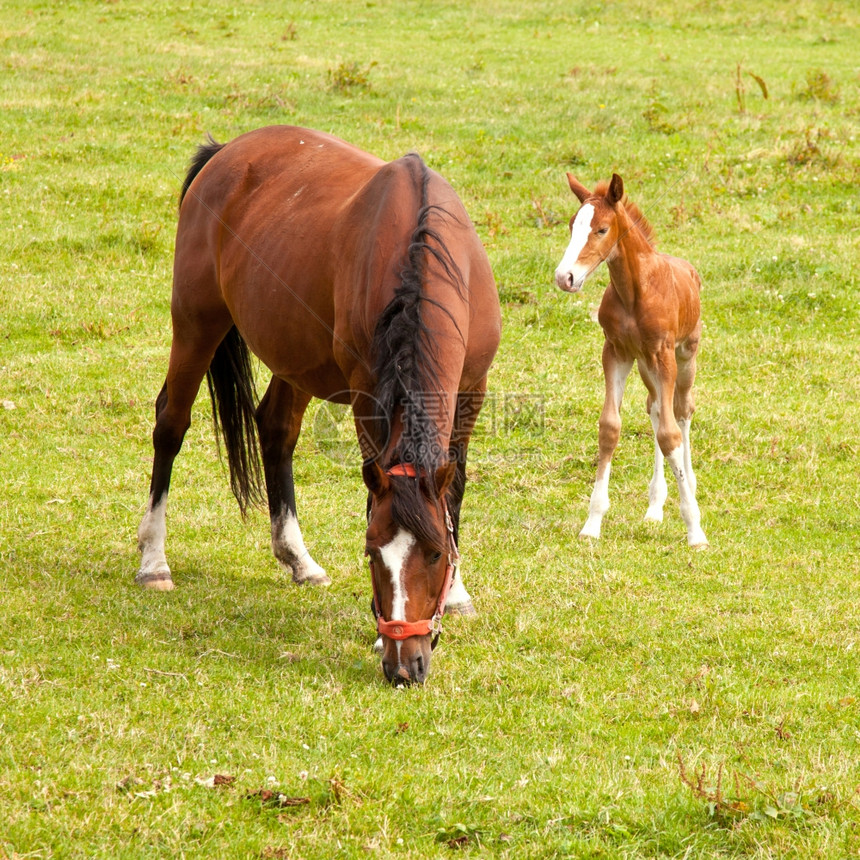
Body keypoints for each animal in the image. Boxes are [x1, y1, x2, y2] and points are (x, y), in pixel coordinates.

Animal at [137, 126, 500, 684]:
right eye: (372, 554)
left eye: (437, 554)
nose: (405, 665)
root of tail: (226, 153)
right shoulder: (369, 394)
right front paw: (379, 633)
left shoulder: (471, 389)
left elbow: (453, 489)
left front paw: (457, 595)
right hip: (196, 322)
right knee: (170, 425)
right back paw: (154, 560)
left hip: (295, 358)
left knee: (275, 428)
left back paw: (297, 557)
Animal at [556, 174, 708, 548]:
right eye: (572, 225)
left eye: (601, 229)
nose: (565, 277)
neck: (636, 291)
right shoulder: (616, 352)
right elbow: (610, 427)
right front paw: (592, 523)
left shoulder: (663, 354)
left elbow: (670, 434)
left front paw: (695, 529)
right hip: (644, 365)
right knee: (654, 407)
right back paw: (655, 505)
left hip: (685, 356)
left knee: (681, 411)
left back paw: (689, 484)